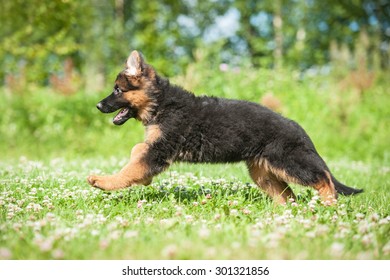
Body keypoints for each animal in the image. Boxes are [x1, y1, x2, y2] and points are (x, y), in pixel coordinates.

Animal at [88, 50, 362, 205]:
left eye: (117, 90)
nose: (98, 105)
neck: (161, 103)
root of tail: (298, 128)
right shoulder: (156, 147)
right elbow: (137, 153)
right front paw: (143, 180)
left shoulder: (160, 148)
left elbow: (130, 168)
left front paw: (103, 181)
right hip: (263, 172)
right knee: (287, 196)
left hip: (290, 162)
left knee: (323, 178)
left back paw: (329, 207)